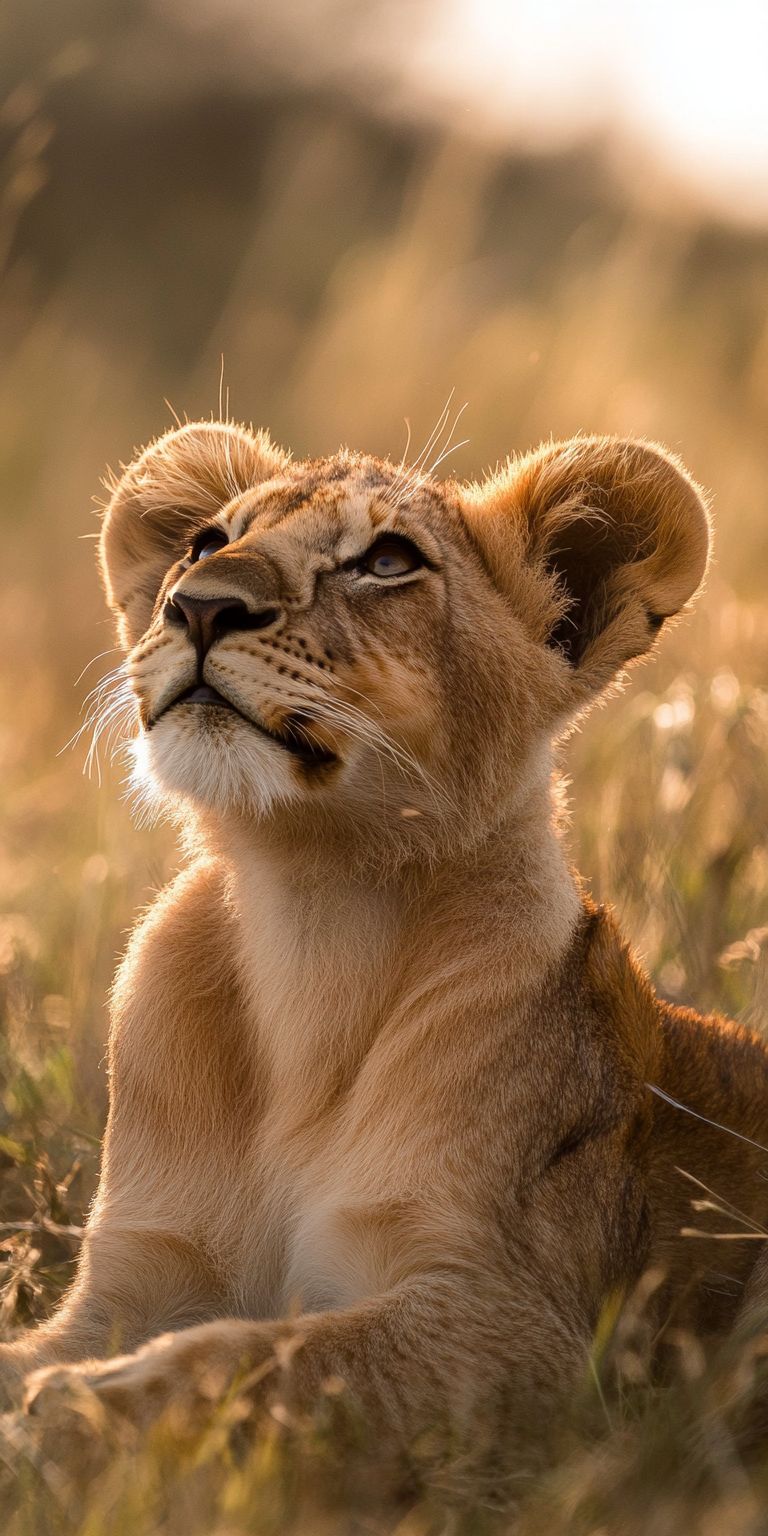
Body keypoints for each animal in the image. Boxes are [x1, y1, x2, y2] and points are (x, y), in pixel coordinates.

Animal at [2, 422, 768, 1493]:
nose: (198, 605)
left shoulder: (536, 1338)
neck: (312, 915)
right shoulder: (132, 1279)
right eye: (206, 542)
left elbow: (277, 1359)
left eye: (388, 561)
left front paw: (74, 1416)